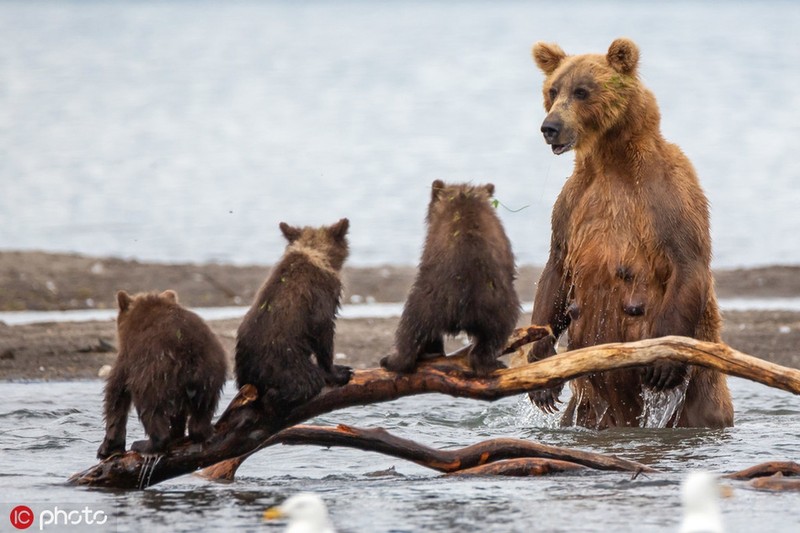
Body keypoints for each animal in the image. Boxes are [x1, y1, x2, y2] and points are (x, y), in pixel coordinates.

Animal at [98, 290, 228, 458]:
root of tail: (190, 352)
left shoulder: (128, 356)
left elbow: (117, 393)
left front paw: (107, 447)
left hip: (154, 371)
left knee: (149, 405)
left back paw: (146, 444)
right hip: (210, 373)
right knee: (202, 408)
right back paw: (202, 432)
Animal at [234, 218, 354, 414]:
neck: (314, 253)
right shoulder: (322, 294)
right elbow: (323, 329)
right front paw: (340, 371)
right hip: (286, 362)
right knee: (304, 382)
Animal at [528, 37, 736, 428]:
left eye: (582, 90)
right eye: (553, 90)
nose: (550, 127)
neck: (611, 161)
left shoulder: (667, 193)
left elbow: (687, 261)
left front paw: (663, 364)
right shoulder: (572, 203)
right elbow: (557, 267)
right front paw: (541, 368)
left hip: (698, 392)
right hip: (588, 406)